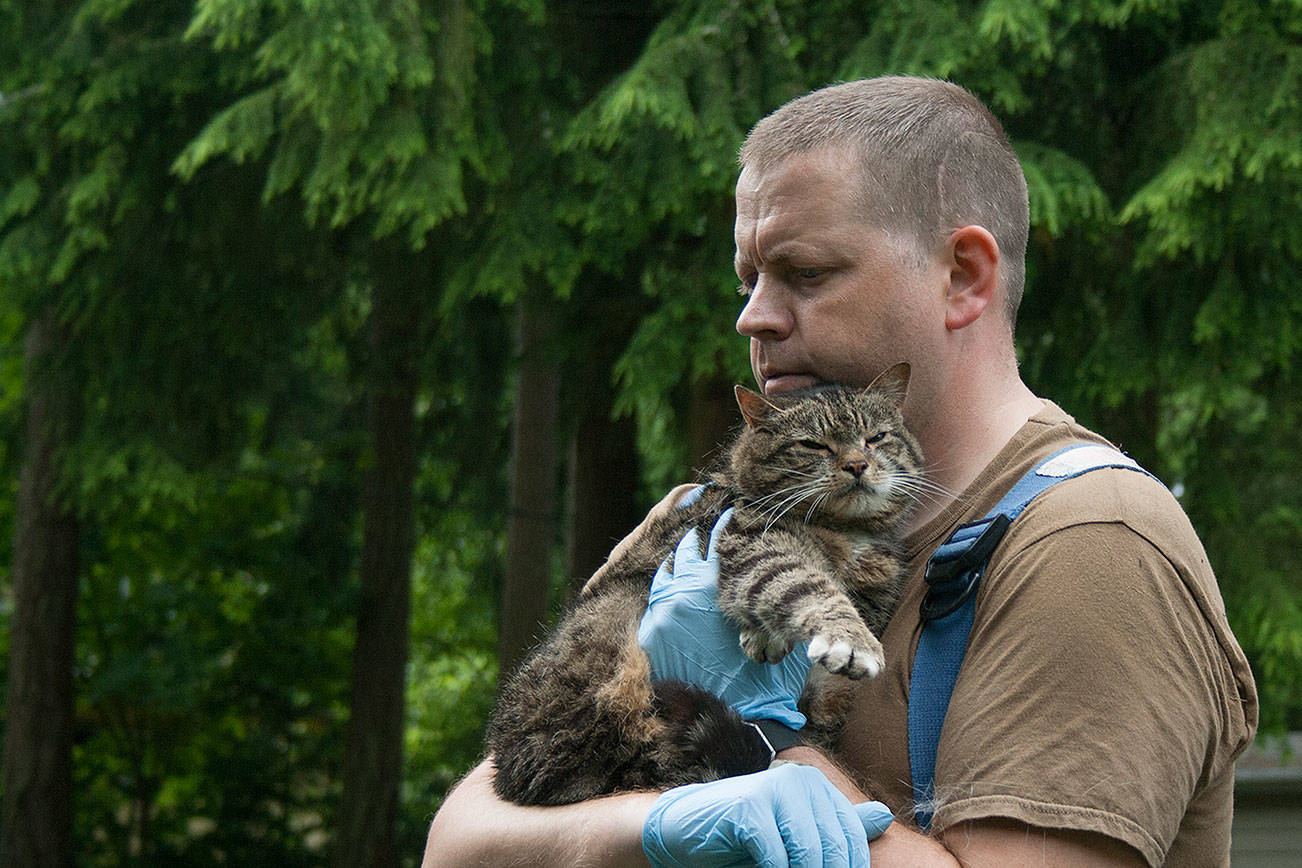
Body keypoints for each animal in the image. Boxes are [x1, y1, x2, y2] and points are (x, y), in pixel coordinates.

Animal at [484, 361, 921, 806]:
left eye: (876, 437)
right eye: (814, 445)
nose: (857, 464)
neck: (848, 530)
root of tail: (511, 765)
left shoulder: (874, 588)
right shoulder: (753, 543)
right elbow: (804, 586)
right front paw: (847, 640)